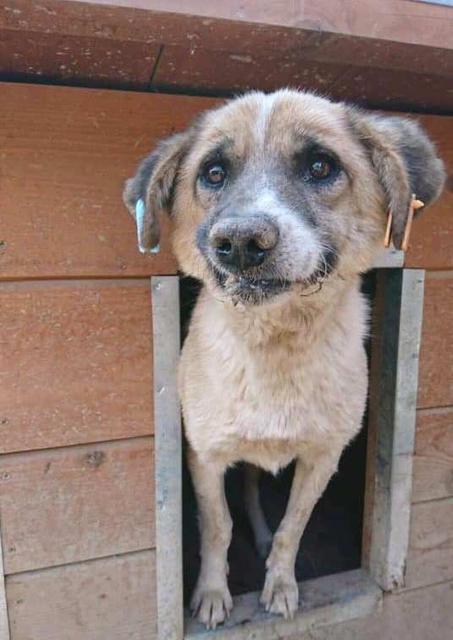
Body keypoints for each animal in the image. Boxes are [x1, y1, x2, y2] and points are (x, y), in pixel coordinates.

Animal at [122, 91, 444, 632]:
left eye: (320, 165)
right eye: (213, 173)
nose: (240, 242)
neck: (276, 345)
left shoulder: (323, 458)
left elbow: (294, 525)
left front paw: (280, 587)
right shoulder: (205, 456)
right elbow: (217, 527)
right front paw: (212, 595)